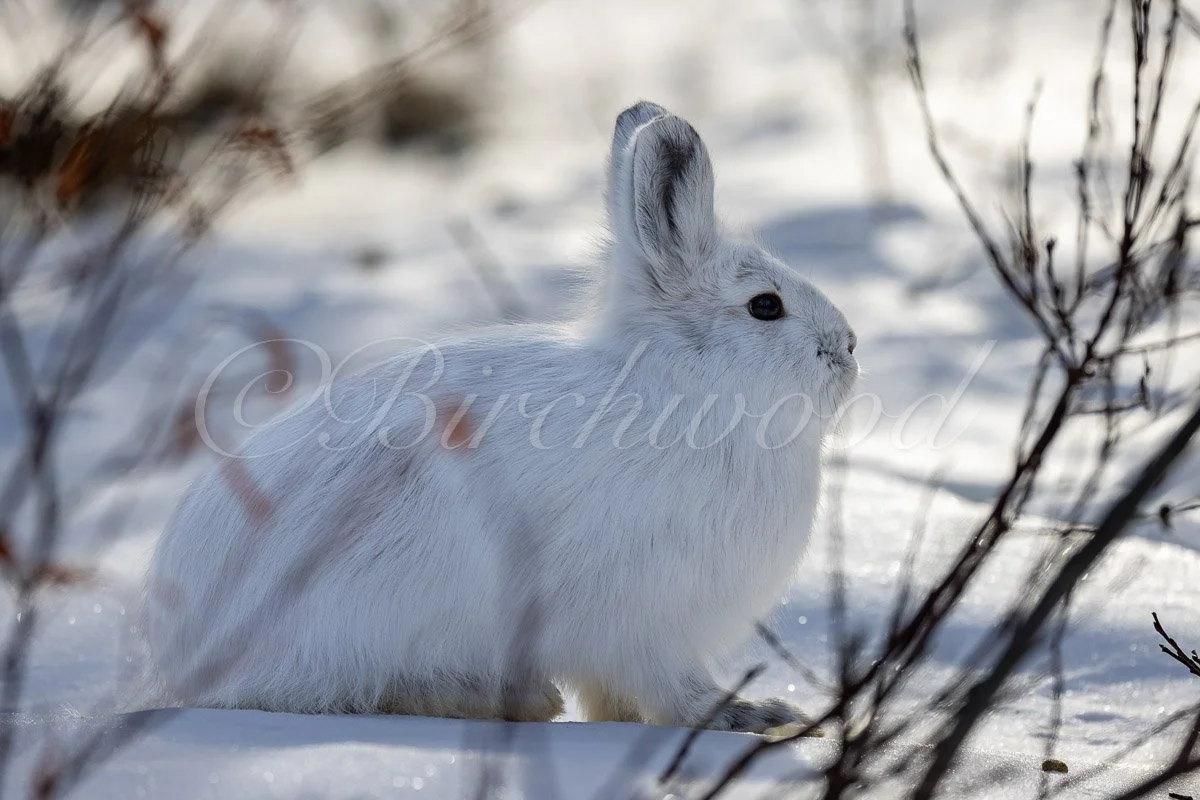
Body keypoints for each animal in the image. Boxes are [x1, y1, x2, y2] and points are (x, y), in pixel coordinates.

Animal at [144, 101, 859, 733]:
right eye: (765, 306)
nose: (849, 349)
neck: (686, 391)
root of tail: (181, 650)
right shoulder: (647, 620)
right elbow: (675, 689)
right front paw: (752, 716)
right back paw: (507, 699)